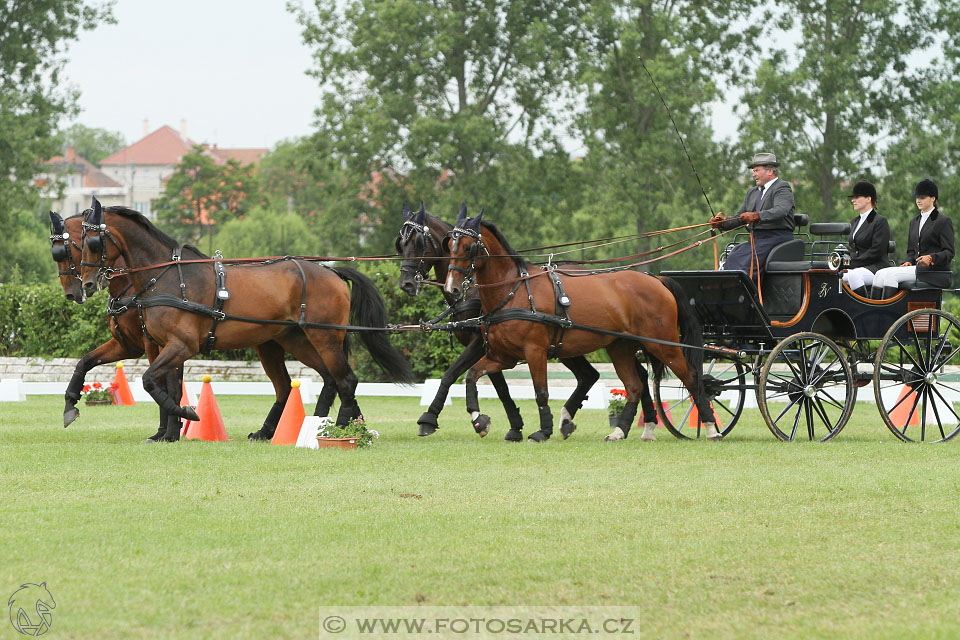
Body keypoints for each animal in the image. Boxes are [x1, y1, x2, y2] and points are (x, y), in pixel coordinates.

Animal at [77, 202, 414, 438]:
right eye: (77, 243)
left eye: (92, 243)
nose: (86, 284)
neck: (167, 277)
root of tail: (330, 271)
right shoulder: (161, 345)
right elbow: (164, 384)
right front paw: (171, 428)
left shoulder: (182, 345)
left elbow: (150, 381)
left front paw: (187, 414)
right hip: (292, 340)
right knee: (311, 382)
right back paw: (296, 427)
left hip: (325, 337)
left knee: (345, 380)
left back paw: (340, 427)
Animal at [398, 204, 600, 440]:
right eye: (401, 244)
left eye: (419, 243)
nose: (406, 284)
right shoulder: (493, 346)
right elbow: (499, 386)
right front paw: (513, 426)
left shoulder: (480, 343)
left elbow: (451, 374)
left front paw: (429, 419)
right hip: (564, 344)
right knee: (588, 375)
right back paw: (567, 421)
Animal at [442, 208, 720, 442]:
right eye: (450, 245)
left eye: (468, 247)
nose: (451, 288)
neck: (514, 291)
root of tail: (655, 279)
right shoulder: (503, 357)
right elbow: (471, 376)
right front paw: (479, 420)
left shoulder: (535, 351)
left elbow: (541, 392)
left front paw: (543, 431)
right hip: (621, 347)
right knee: (635, 385)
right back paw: (620, 431)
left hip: (663, 344)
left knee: (692, 378)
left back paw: (710, 428)